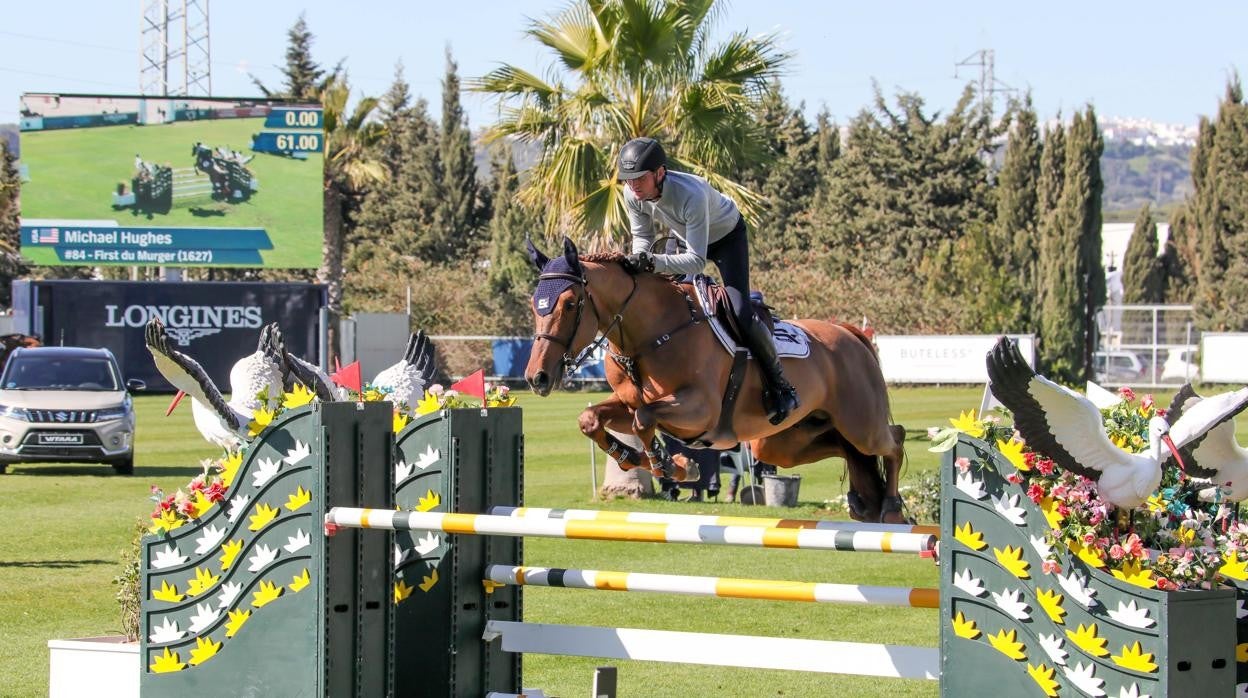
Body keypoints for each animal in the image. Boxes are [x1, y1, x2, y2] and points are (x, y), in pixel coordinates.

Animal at [521, 237, 913, 521]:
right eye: (533, 303)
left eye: (570, 304)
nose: (537, 377)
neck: (653, 333)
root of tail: (850, 333)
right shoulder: (628, 402)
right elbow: (593, 418)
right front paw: (635, 457)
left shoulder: (699, 411)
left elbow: (644, 418)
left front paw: (672, 465)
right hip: (780, 442)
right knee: (841, 447)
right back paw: (865, 503)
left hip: (861, 424)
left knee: (892, 439)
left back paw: (891, 506)